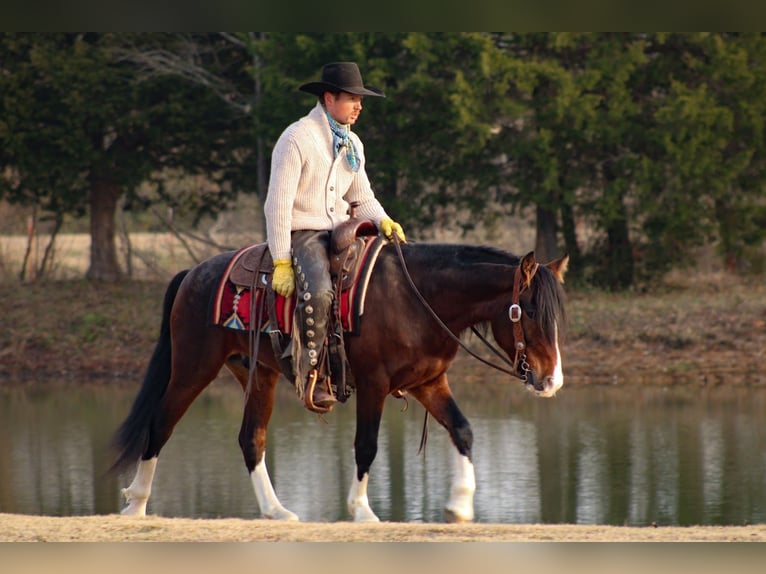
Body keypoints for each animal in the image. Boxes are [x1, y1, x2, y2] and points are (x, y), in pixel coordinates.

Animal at [110, 238, 568, 523]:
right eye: (529, 311)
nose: (552, 381)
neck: (418, 298)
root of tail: (193, 273)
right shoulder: (374, 385)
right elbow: (366, 445)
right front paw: (362, 510)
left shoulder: (430, 382)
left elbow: (463, 430)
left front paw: (460, 506)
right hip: (193, 366)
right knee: (160, 424)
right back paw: (136, 505)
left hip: (257, 374)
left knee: (251, 438)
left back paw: (277, 511)